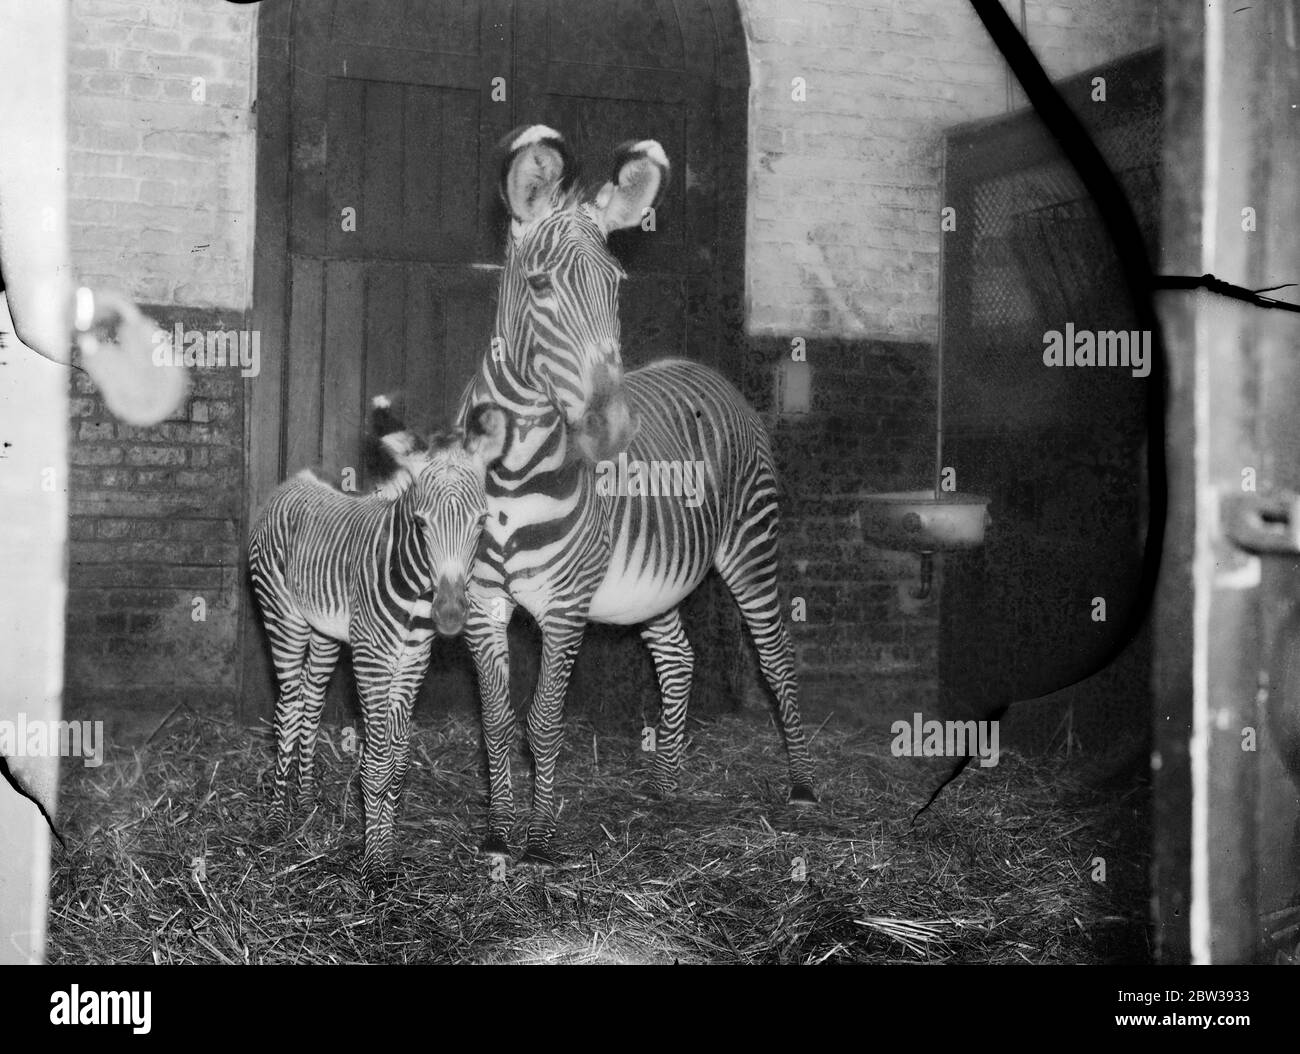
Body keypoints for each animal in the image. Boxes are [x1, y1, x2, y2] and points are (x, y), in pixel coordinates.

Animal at [248, 397, 506, 888]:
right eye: (421, 524)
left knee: (310, 702)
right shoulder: (372, 659)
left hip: (325, 633)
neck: (417, 587)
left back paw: (305, 802)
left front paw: (385, 852)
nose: (450, 617)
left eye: (482, 521)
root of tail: (296, 480)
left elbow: (398, 763)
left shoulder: (412, 661)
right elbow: (377, 762)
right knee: (287, 708)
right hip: (283, 618)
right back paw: (275, 819)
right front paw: (372, 867)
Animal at [462, 125, 816, 868]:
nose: (613, 430)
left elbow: (543, 721)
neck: (513, 471)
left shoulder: (565, 604)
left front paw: (540, 841)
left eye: (616, 286)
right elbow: (496, 722)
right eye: (540, 285)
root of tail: (702, 368)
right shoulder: (482, 599)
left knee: (776, 656)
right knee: (679, 659)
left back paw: (800, 787)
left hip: (751, 545)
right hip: (655, 577)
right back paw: (665, 783)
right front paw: (499, 834)